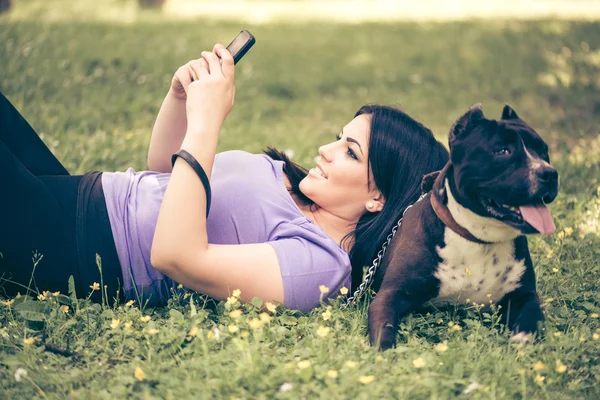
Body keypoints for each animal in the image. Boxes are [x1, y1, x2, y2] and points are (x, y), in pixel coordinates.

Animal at [368, 103, 560, 350]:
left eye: (544, 151)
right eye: (502, 151)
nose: (549, 173)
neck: (478, 238)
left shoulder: (524, 293)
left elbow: (532, 316)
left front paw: (523, 339)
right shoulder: (390, 294)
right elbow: (384, 326)